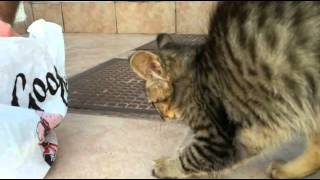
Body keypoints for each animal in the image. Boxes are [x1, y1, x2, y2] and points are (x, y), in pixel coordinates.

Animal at [130, 1, 320, 179]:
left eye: (154, 104)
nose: (162, 118)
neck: (196, 75)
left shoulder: (218, 139)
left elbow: (191, 158)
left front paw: (165, 166)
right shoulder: (256, 132)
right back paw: (286, 170)